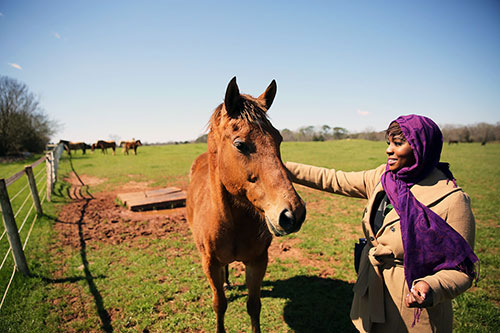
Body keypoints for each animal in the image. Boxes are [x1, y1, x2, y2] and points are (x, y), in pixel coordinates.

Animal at [187, 76, 306, 330]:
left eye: (278, 139)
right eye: (240, 144)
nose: (293, 214)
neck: (232, 224)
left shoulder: (258, 261)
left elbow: (254, 306)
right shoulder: (209, 263)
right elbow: (219, 305)